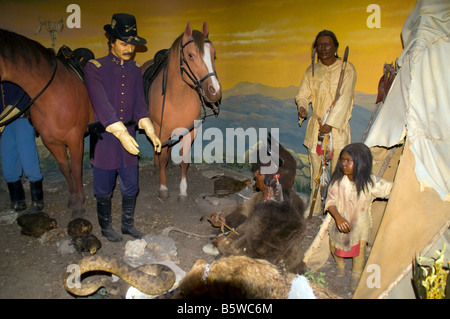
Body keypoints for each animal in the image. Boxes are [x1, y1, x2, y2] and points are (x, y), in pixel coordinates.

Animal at [0, 28, 92, 218]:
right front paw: (73, 199)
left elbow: (76, 168)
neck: (52, 93)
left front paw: (80, 205)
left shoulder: (75, 138)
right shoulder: (51, 141)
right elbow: (64, 168)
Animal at [144, 22, 221, 201]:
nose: (215, 92)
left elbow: (184, 159)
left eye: (213, 55)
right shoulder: (161, 130)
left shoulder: (189, 130)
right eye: (191, 55)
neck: (177, 97)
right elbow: (163, 156)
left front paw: (183, 191)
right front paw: (163, 188)